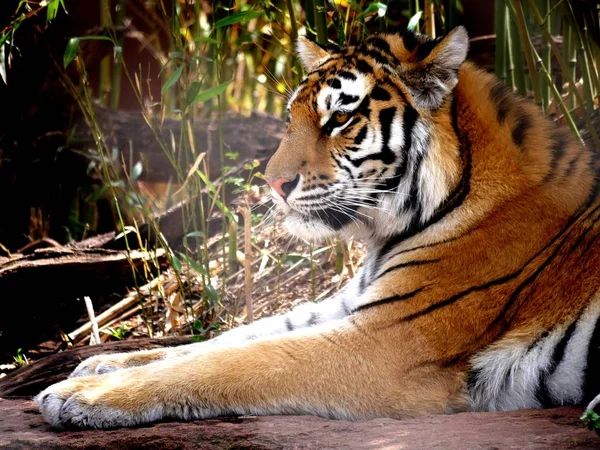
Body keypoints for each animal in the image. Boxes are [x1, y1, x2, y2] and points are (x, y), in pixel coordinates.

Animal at [36, 27, 600, 428]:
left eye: (339, 120)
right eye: (293, 117)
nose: (272, 182)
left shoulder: (386, 343)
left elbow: (240, 360)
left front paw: (76, 394)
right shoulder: (355, 305)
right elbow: (225, 339)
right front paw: (102, 364)